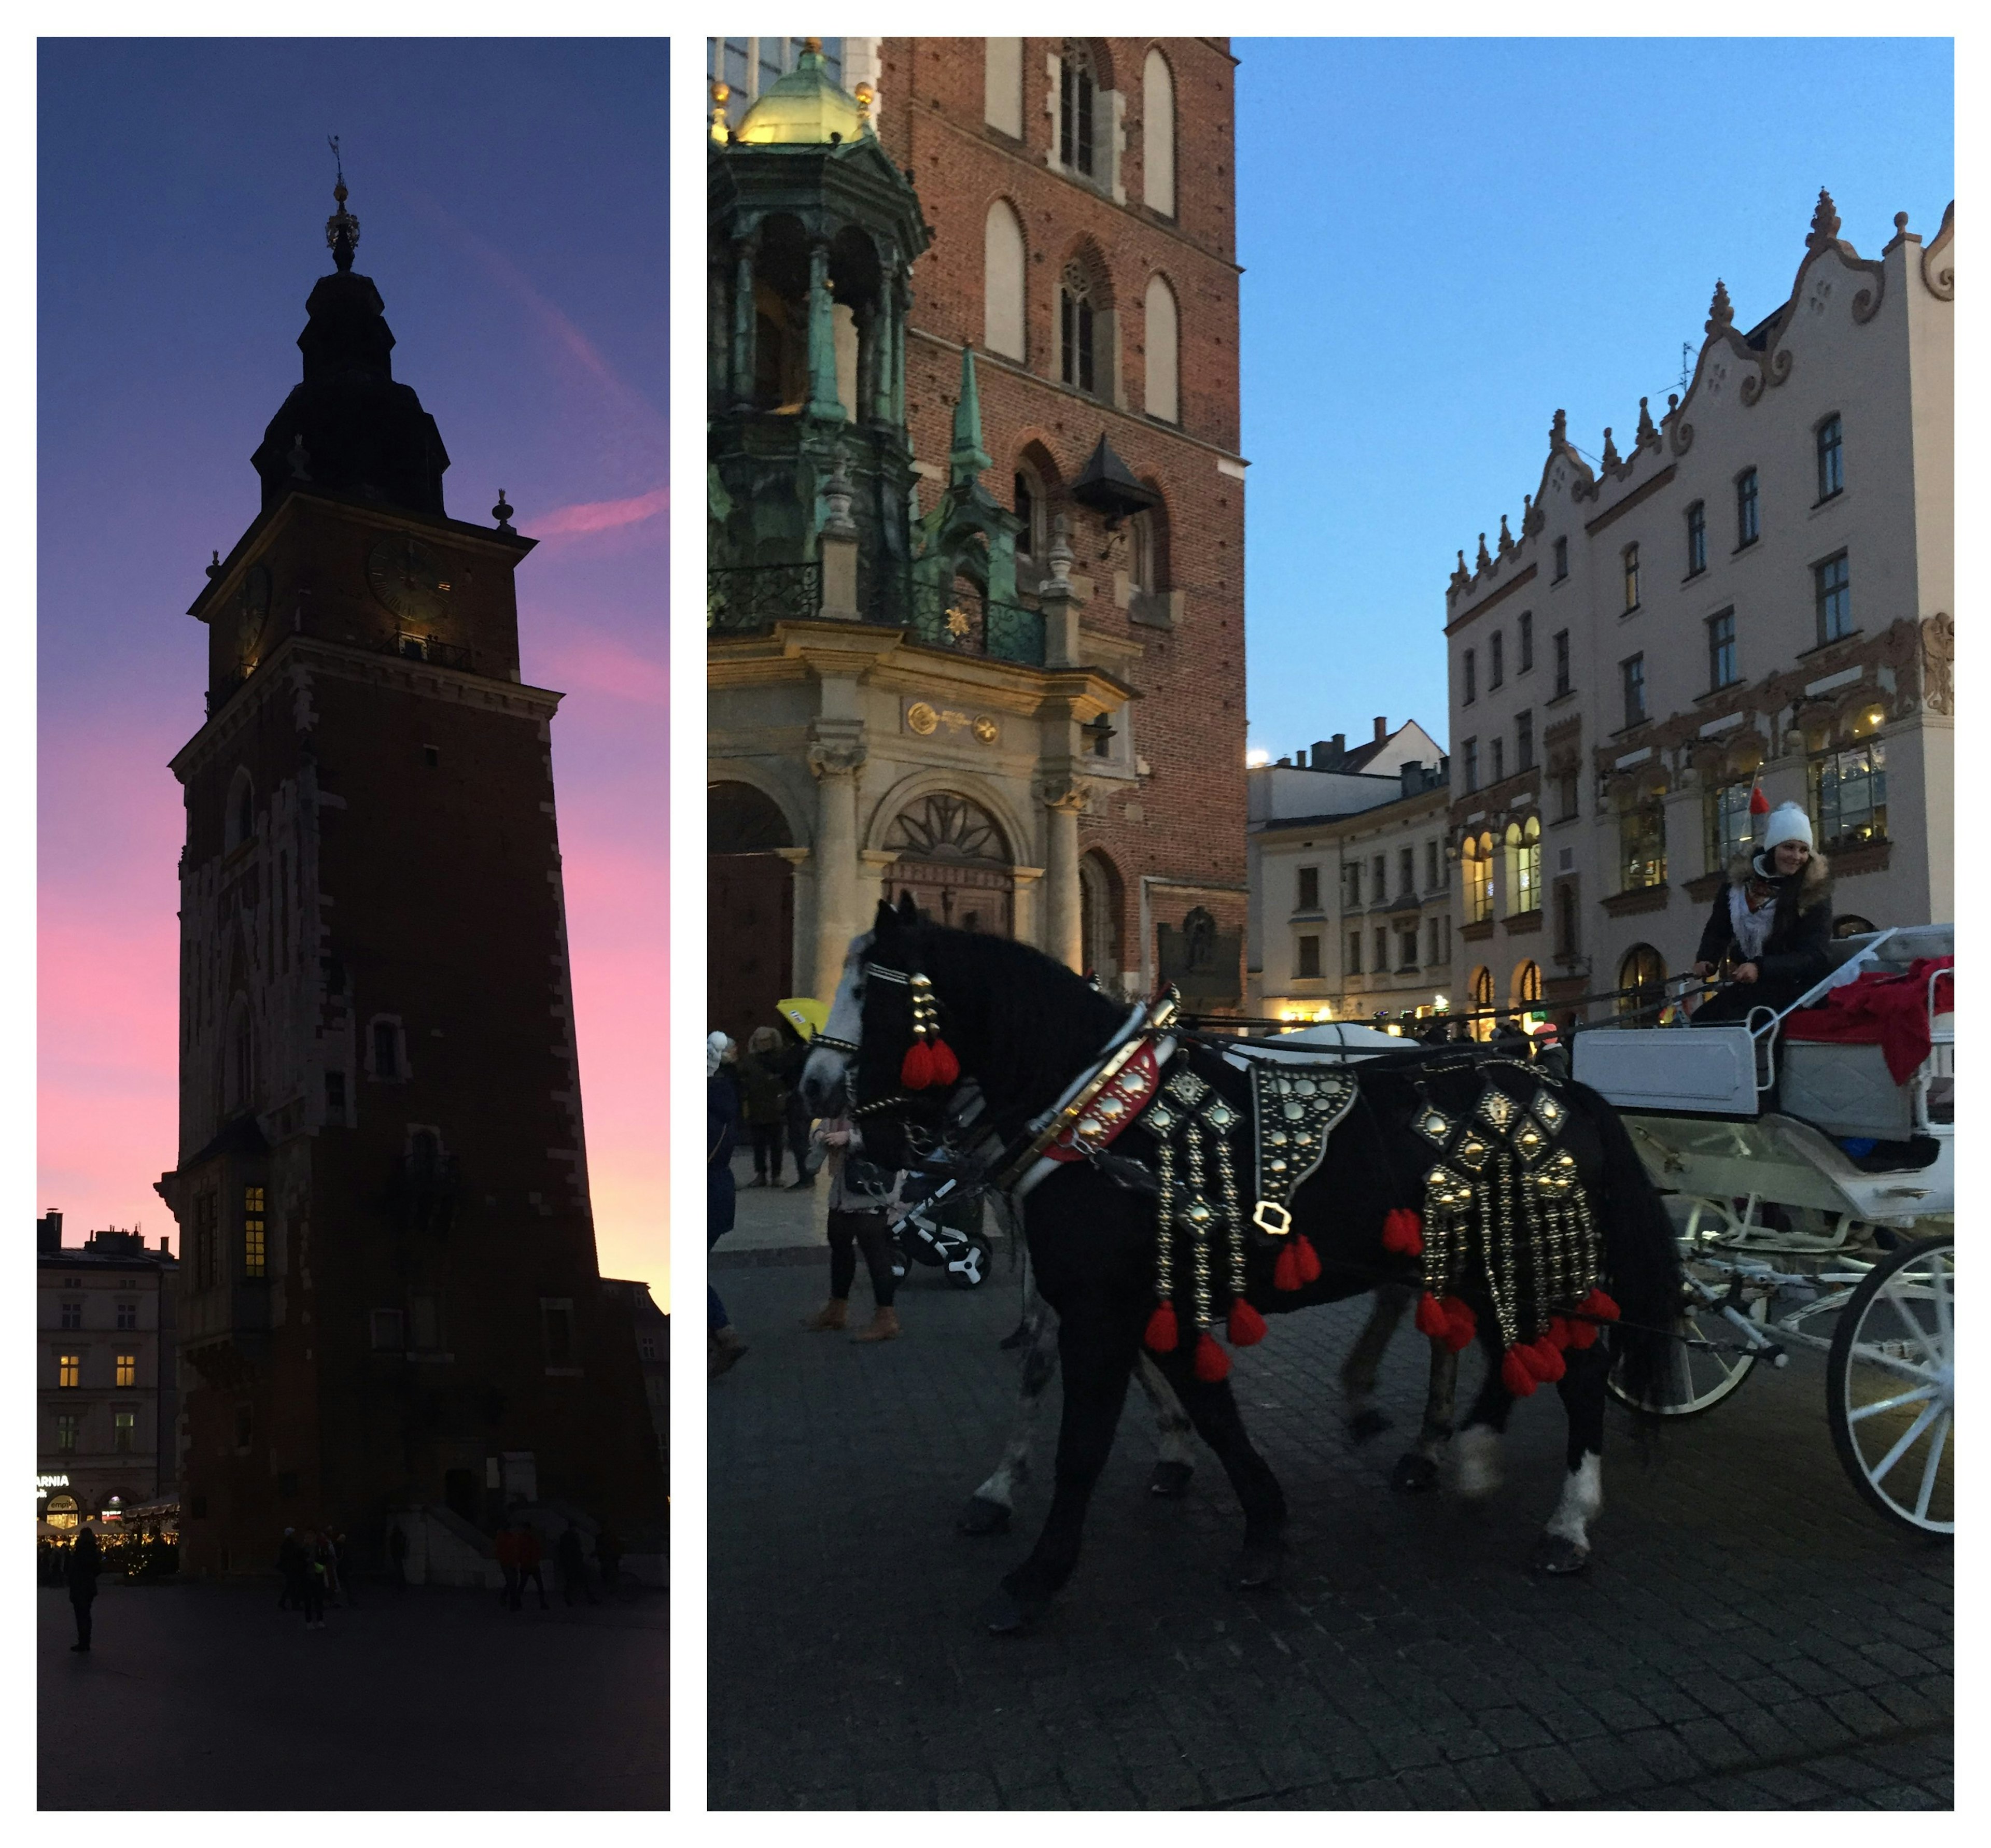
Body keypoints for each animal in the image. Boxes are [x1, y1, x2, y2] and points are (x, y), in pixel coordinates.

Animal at [796, 904, 1680, 1641]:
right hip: (1478, 1256)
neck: (1098, 1112)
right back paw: (1461, 1449)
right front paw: (1257, 1523)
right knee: (1497, 1347)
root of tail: (1560, 1082)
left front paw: (1035, 1572)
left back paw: (1564, 1520)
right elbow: (1208, 1405)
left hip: (1531, 1254)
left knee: (1577, 1369)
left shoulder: (1099, 1304)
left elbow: (1082, 1439)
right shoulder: (1136, 1296)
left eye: (868, 992)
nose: (811, 1086)